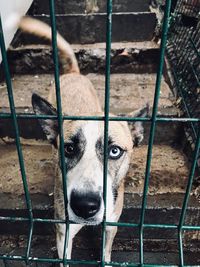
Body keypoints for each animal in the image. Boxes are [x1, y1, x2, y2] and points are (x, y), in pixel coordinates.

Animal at [18, 16, 147, 266]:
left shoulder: (111, 226)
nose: (85, 206)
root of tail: (73, 73)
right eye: (68, 148)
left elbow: (106, 252)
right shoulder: (63, 234)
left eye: (115, 151)